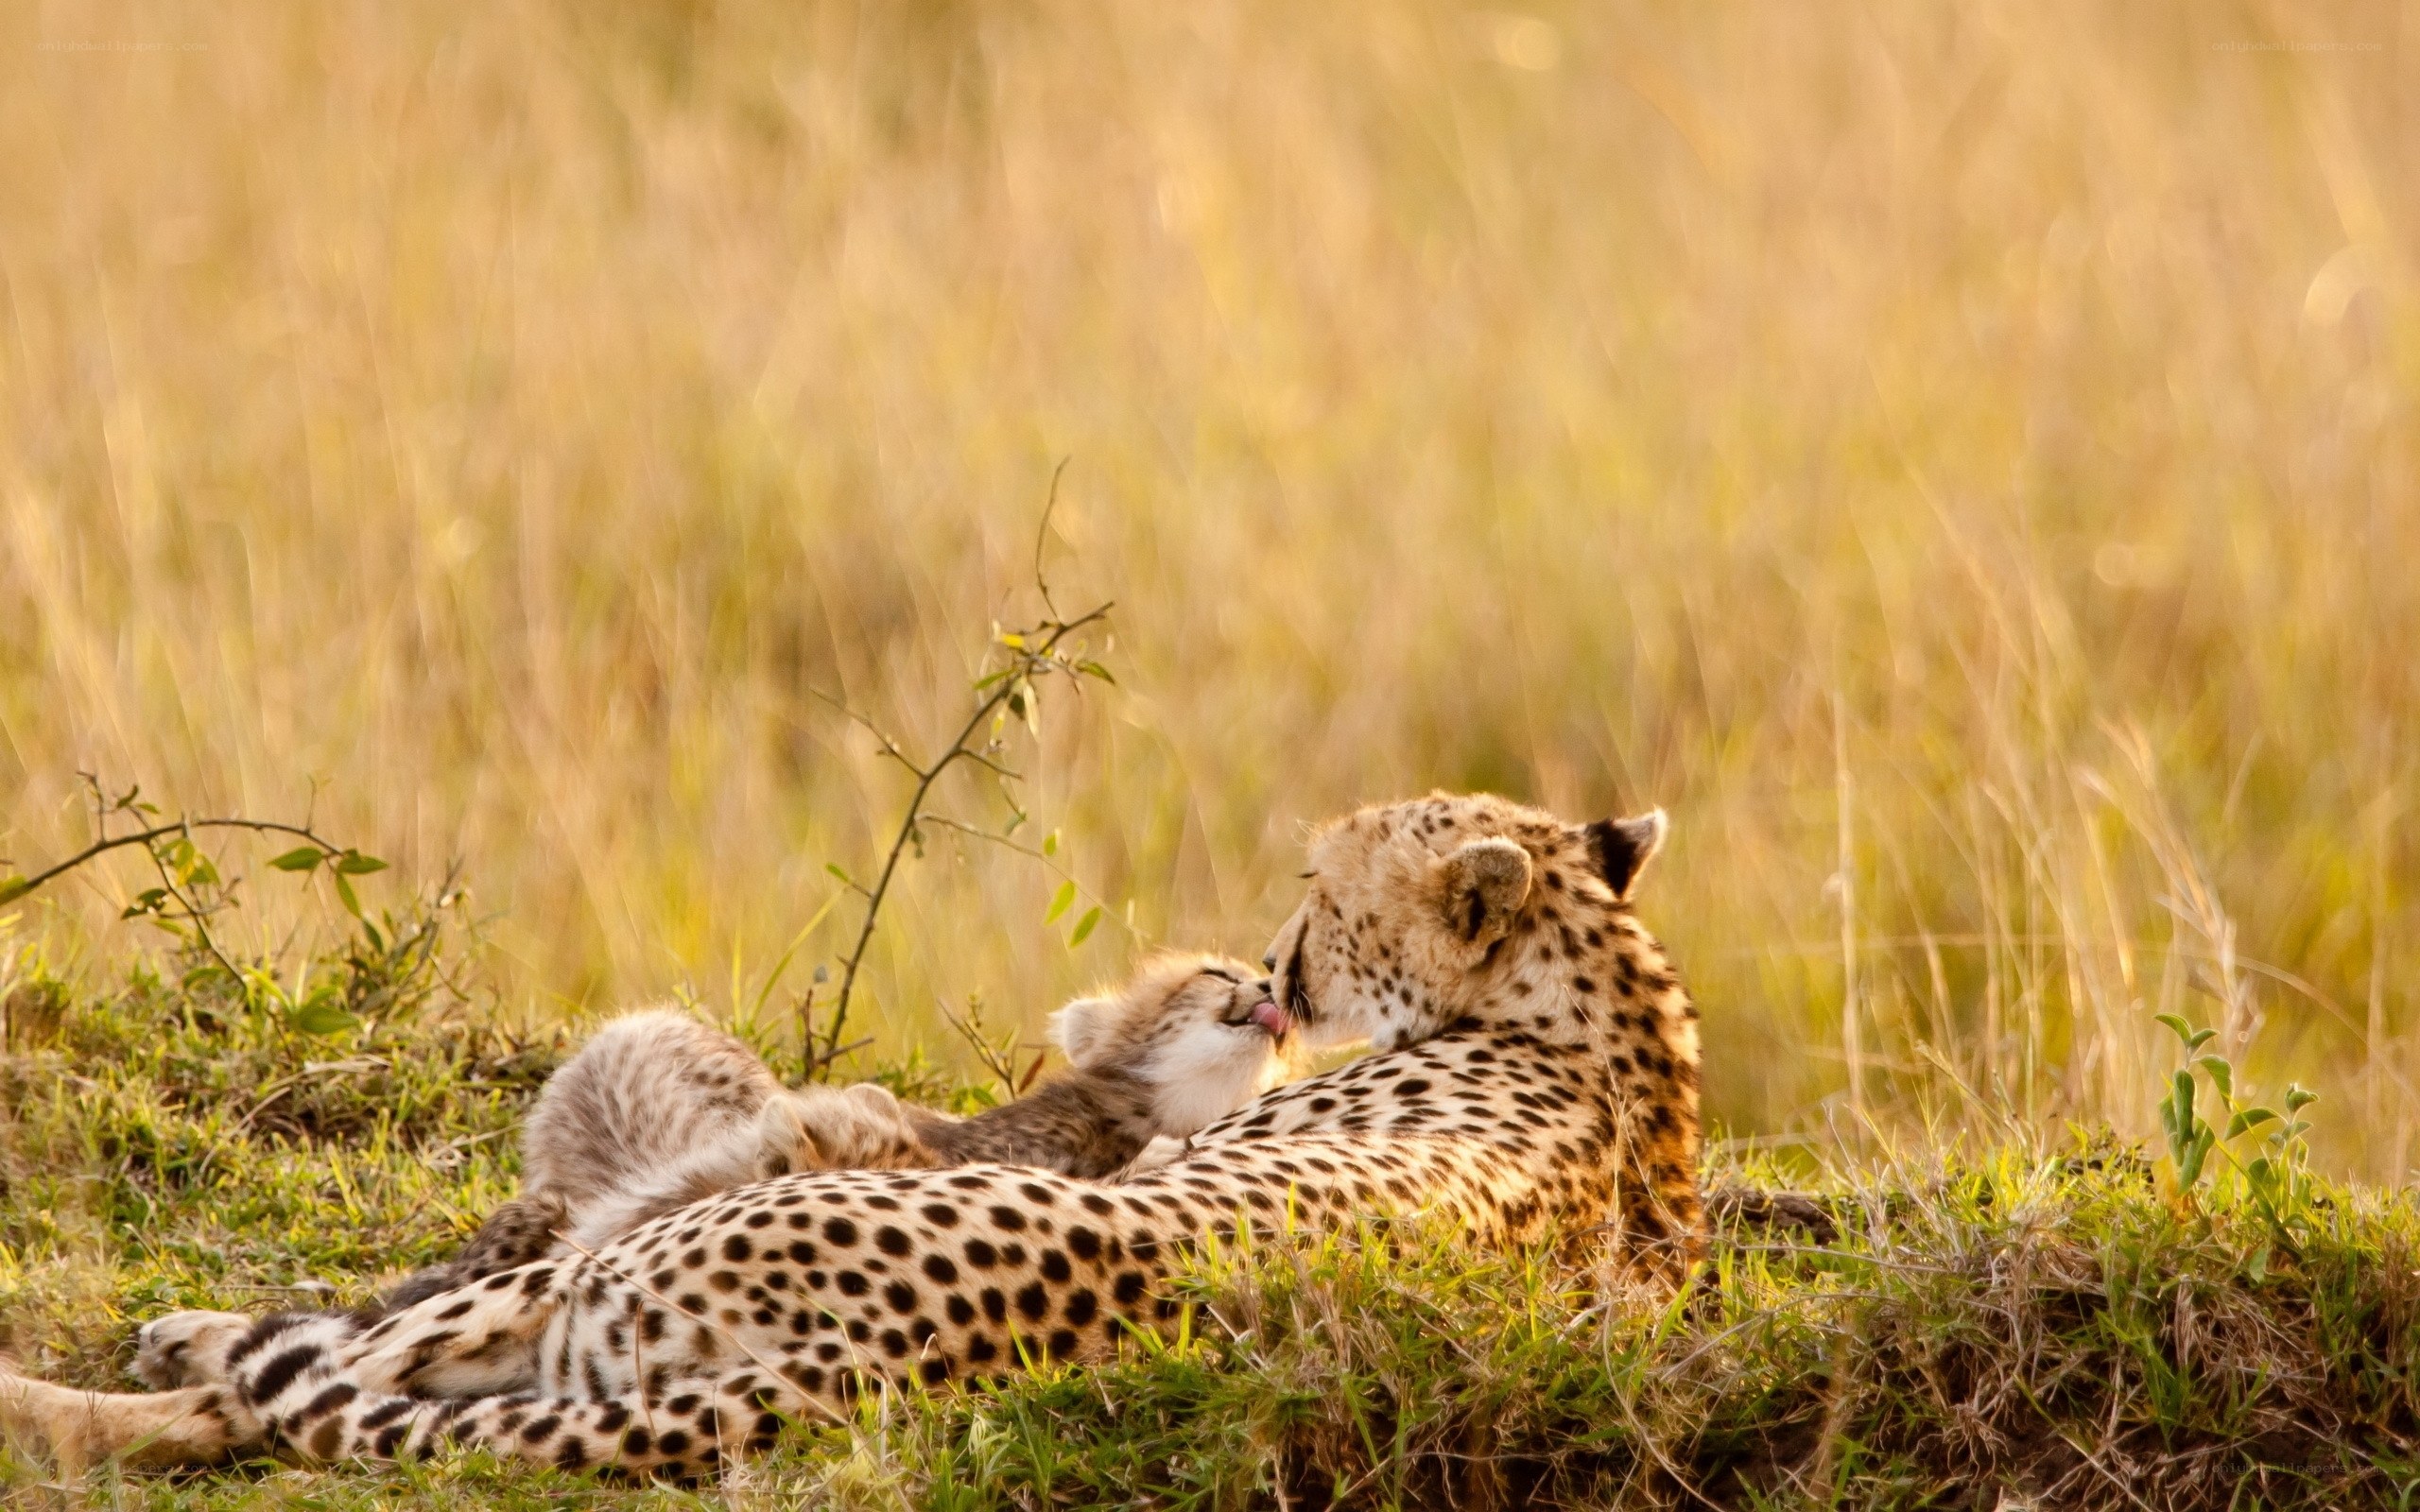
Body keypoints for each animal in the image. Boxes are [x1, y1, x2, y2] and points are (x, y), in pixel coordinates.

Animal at [0, 791, 1703, 1481]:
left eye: (1321, 890)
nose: (1280, 966)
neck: (1601, 997)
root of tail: (866, 1364)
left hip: (596, 1293)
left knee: (286, 1391)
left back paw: (102, 1384)